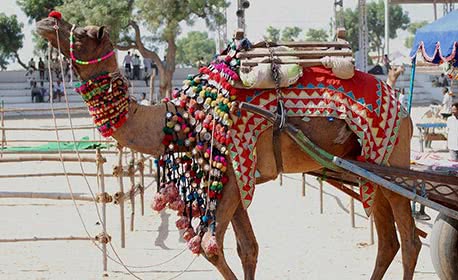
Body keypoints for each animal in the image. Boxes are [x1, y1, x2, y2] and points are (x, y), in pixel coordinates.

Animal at [36, 14, 422, 280]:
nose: (46, 20)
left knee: (410, 240)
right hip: (368, 169)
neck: (176, 118)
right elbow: (247, 248)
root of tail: (404, 108)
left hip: (391, 155)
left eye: (83, 34)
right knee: (389, 241)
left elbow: (211, 247)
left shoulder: (236, 172)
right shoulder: (232, 177)